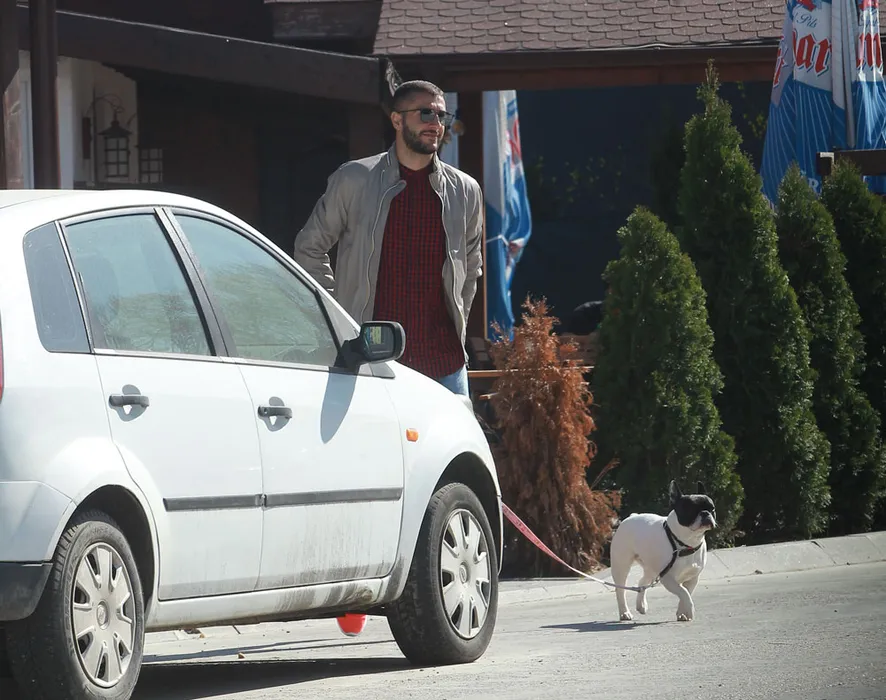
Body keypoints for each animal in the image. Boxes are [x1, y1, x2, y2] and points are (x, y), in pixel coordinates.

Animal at [609, 480, 717, 622]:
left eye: (712, 509)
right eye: (691, 509)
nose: (705, 513)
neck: (684, 542)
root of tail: (631, 517)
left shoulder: (693, 578)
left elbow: (686, 592)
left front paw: (682, 613)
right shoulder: (668, 578)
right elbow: (684, 592)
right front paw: (689, 611)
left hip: (651, 569)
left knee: (642, 582)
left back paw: (641, 605)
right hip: (621, 566)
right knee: (620, 590)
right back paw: (624, 613)